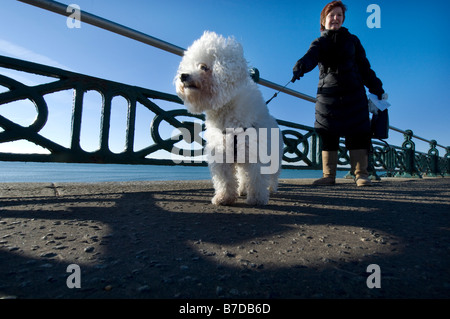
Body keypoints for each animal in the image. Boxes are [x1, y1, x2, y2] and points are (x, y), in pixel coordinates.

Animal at [175, 31, 282, 208]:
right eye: (189, 66)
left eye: (204, 67)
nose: (183, 76)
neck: (226, 109)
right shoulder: (222, 152)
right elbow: (224, 179)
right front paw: (224, 197)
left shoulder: (256, 152)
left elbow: (257, 177)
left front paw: (257, 199)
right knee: (243, 175)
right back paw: (243, 190)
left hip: (273, 156)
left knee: (272, 175)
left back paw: (271, 189)